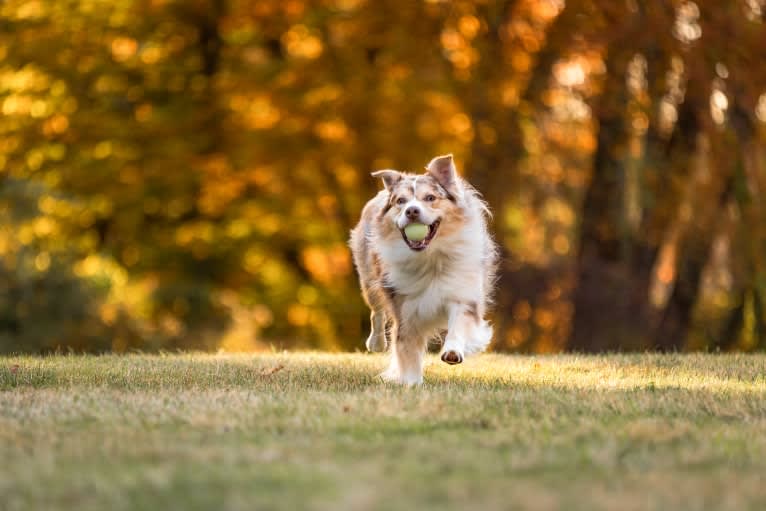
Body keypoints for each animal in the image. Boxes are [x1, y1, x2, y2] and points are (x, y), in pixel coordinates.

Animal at [350, 154, 498, 386]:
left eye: (430, 198)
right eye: (400, 201)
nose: (412, 210)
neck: (430, 258)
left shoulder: (463, 293)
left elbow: (459, 324)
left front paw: (452, 352)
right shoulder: (405, 308)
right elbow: (407, 348)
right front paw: (411, 382)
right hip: (368, 277)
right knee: (377, 311)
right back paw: (376, 343)